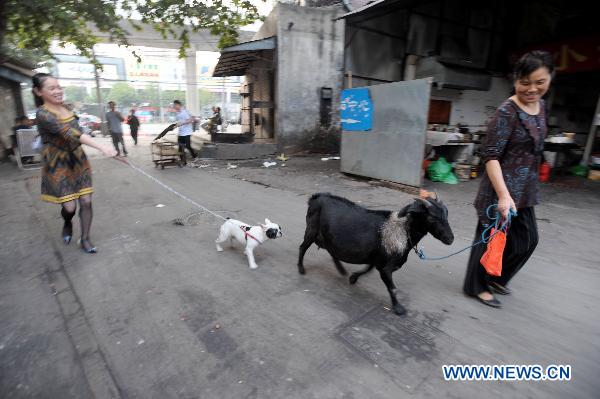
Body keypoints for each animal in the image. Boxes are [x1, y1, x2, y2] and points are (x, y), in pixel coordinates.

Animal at [298, 193, 452, 316]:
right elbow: (392, 288)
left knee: (331, 251)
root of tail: (316, 197)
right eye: (431, 218)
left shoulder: (377, 259)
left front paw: (353, 278)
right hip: (311, 230)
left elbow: (368, 269)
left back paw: (341, 270)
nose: (450, 238)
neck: (403, 231)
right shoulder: (385, 268)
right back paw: (301, 269)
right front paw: (398, 308)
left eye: (446, 214)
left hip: (327, 237)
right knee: (302, 248)